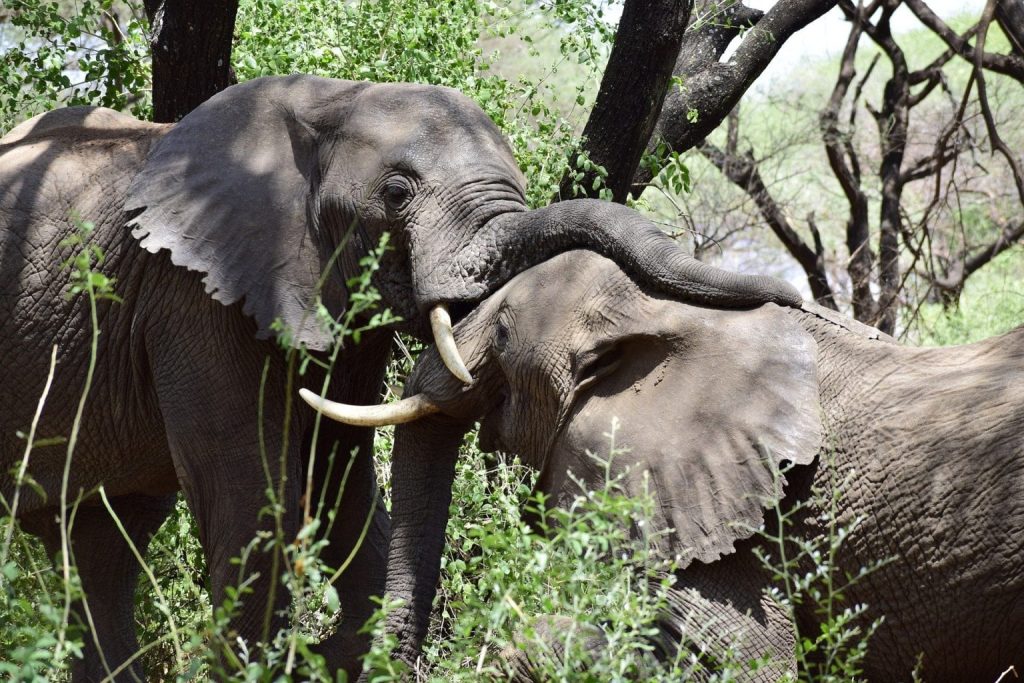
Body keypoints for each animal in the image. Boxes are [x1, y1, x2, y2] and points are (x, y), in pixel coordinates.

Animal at [0, 76, 798, 683]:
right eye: (396, 192)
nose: (790, 296)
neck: (323, 101)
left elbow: (336, 471)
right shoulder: (192, 289)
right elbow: (253, 491)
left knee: (97, 543)